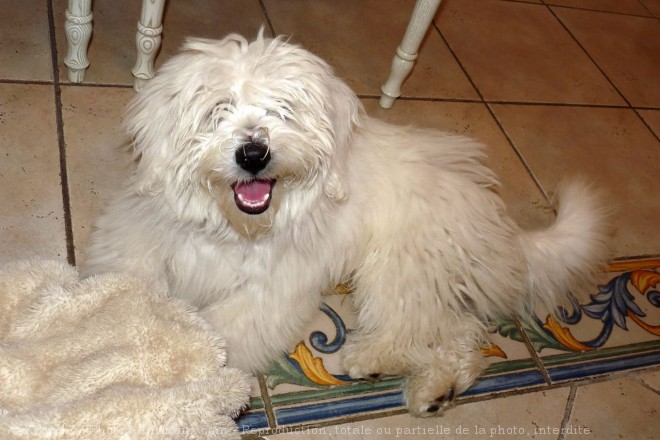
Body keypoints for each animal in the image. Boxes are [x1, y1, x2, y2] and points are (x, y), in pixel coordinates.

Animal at [85, 32, 612, 414]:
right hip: (430, 278)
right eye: (218, 110)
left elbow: (219, 330)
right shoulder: (140, 233)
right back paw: (435, 390)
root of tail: (496, 218)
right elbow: (131, 281)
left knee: (415, 327)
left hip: (398, 266)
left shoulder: (272, 291)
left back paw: (374, 360)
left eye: (283, 110)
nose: (254, 153)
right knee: (460, 330)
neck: (237, 228)